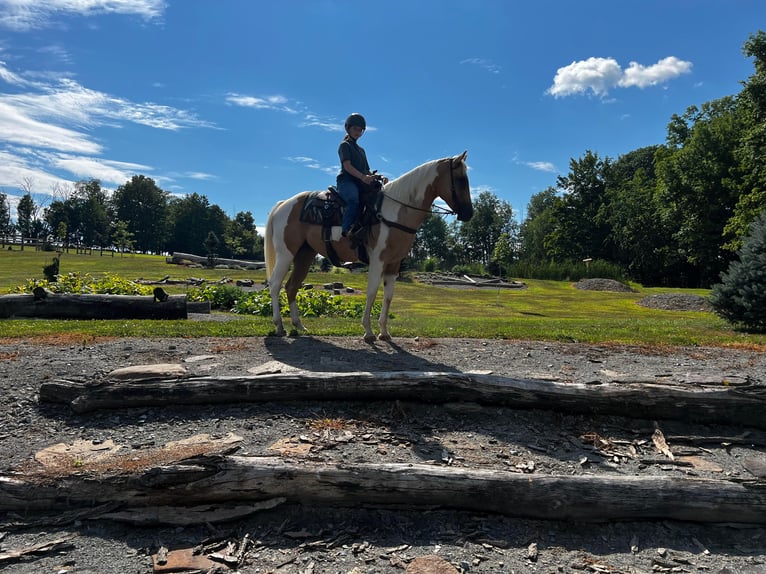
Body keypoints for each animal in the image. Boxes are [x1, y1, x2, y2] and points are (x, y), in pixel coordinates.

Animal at [266, 151, 474, 344]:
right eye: (461, 179)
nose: (469, 214)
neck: (393, 213)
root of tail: (283, 204)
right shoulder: (377, 261)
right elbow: (372, 292)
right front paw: (368, 331)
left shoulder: (393, 264)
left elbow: (388, 296)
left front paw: (384, 332)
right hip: (286, 254)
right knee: (275, 285)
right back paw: (279, 326)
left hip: (305, 255)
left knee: (291, 286)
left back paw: (299, 325)